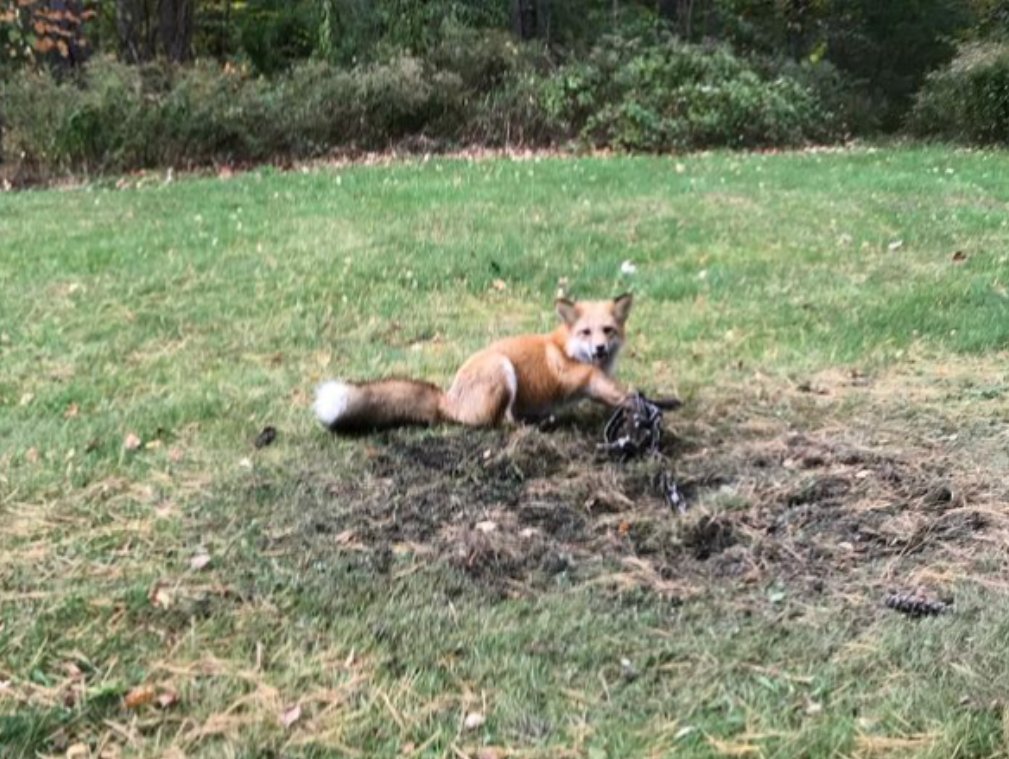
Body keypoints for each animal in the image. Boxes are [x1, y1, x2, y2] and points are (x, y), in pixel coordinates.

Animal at [310, 292, 633, 431]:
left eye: (608, 330)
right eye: (586, 332)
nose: (600, 349)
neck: (566, 347)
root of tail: (448, 398)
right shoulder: (578, 375)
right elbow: (610, 387)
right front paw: (634, 401)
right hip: (502, 369)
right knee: (500, 421)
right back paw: (531, 424)